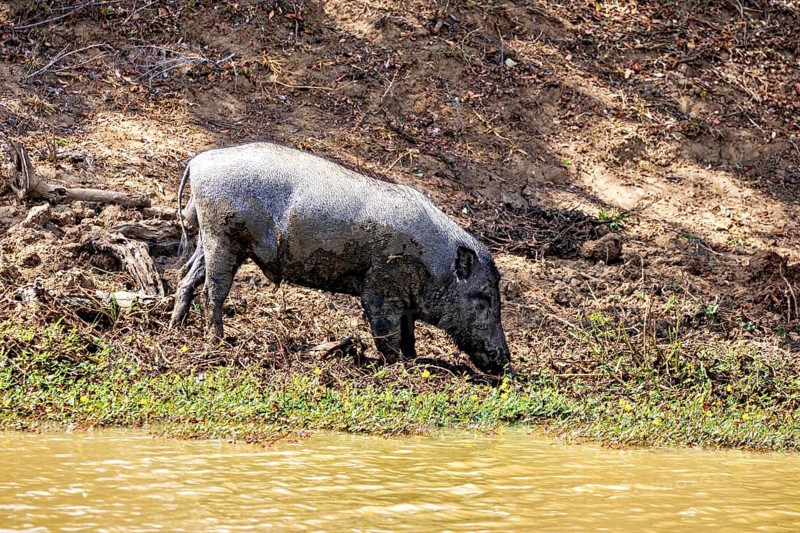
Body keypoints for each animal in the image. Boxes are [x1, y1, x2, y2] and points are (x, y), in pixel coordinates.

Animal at [170, 142, 512, 375]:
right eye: (483, 297)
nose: (506, 361)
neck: (435, 263)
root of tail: (198, 162)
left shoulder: (406, 301)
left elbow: (408, 334)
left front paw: (412, 359)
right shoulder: (380, 287)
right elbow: (387, 332)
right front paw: (397, 365)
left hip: (211, 240)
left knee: (187, 278)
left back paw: (176, 327)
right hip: (222, 237)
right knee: (213, 290)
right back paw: (217, 341)